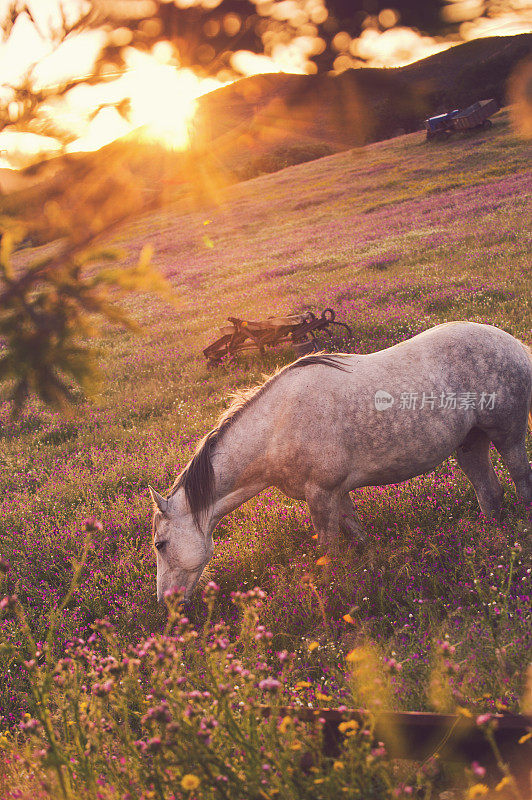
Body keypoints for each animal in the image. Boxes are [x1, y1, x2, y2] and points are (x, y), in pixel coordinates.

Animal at [150, 322, 532, 604]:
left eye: (160, 544)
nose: (166, 603)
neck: (276, 427)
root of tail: (514, 343)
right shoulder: (337, 492)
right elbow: (356, 533)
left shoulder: (321, 494)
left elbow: (328, 553)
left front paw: (334, 599)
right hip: (470, 443)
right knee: (490, 493)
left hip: (508, 436)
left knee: (521, 480)